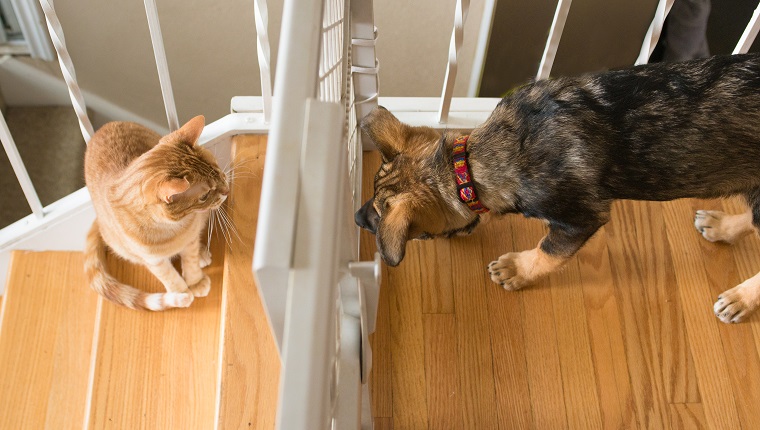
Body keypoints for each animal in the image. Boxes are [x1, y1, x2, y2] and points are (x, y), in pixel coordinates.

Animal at [83, 115, 227, 310]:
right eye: (204, 196)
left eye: (219, 172)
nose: (226, 191)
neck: (172, 229)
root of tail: (101, 128)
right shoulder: (153, 261)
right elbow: (169, 276)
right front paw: (181, 293)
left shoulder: (190, 241)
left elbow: (190, 259)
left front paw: (195, 281)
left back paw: (202, 254)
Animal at [360, 52, 760, 322]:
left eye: (416, 234)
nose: (356, 217)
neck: (471, 167)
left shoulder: (579, 218)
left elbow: (548, 251)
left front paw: (517, 270)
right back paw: (722, 226)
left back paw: (740, 298)